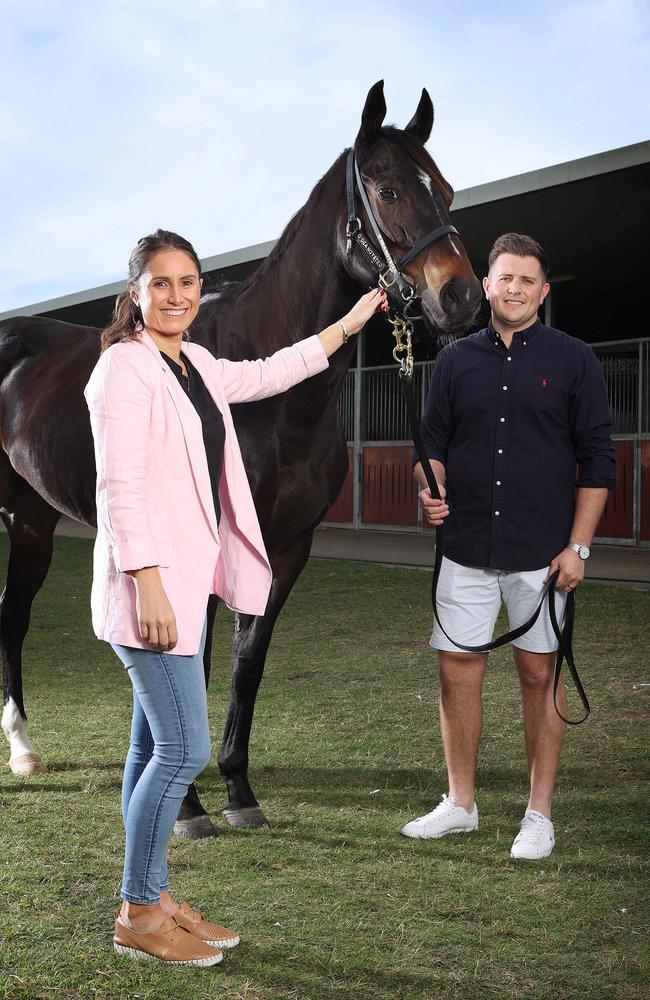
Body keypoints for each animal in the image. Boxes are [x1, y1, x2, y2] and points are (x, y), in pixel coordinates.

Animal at [0, 82, 476, 836]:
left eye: (449, 191)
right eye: (390, 189)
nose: (462, 296)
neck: (272, 392)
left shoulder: (286, 550)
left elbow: (247, 663)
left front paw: (237, 789)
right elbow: (190, 662)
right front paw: (189, 806)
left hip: (31, 521)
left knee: (12, 615)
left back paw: (22, 747)